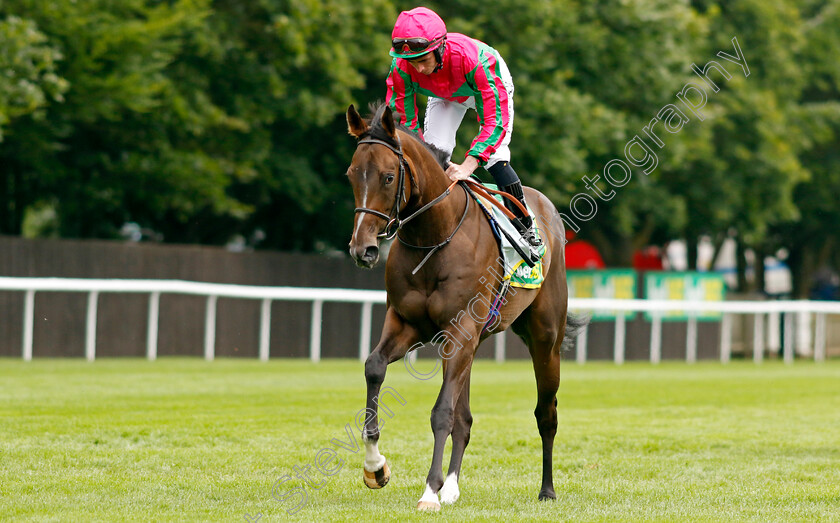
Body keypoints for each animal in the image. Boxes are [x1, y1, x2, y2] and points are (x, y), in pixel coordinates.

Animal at [344, 102, 580, 512]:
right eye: (351, 175)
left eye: (388, 177)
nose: (364, 249)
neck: (434, 236)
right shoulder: (408, 323)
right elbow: (374, 367)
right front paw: (376, 467)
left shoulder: (461, 328)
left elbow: (442, 411)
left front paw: (429, 491)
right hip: (471, 343)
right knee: (465, 418)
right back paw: (452, 487)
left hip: (544, 339)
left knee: (546, 413)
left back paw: (547, 489)